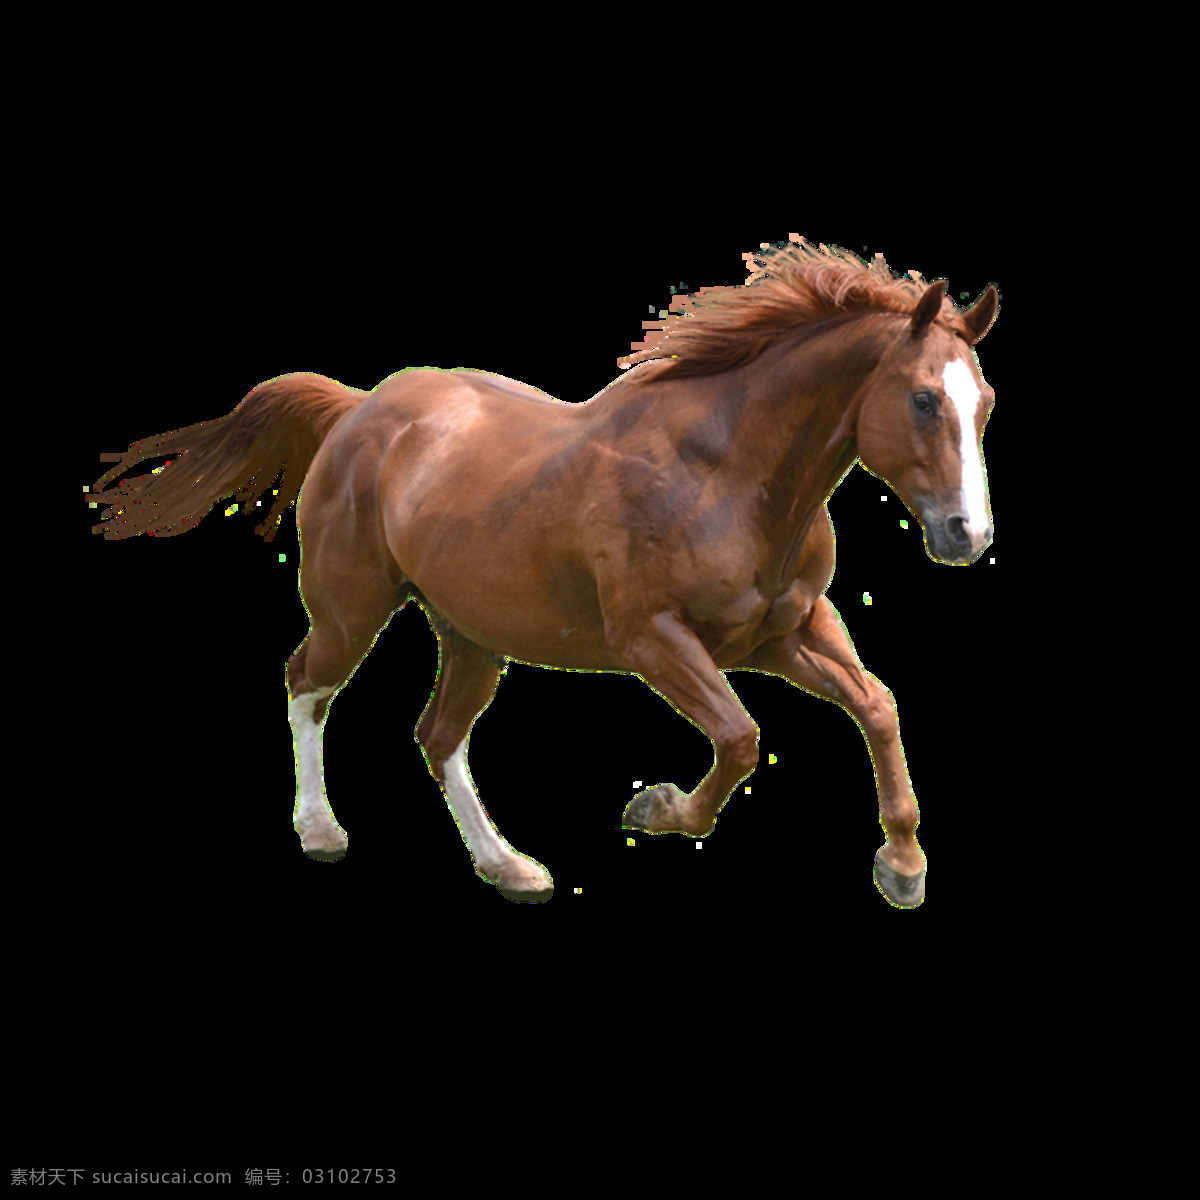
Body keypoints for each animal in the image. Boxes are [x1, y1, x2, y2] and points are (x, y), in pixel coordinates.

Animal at [88, 236, 998, 907]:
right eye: (924, 399)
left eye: (983, 403)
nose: (967, 534)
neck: (728, 474)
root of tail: (357, 409)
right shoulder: (652, 639)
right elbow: (742, 739)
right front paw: (659, 807)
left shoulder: (785, 631)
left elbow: (876, 707)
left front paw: (903, 866)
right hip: (352, 607)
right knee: (307, 682)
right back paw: (320, 831)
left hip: (471, 633)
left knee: (437, 734)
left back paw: (510, 868)